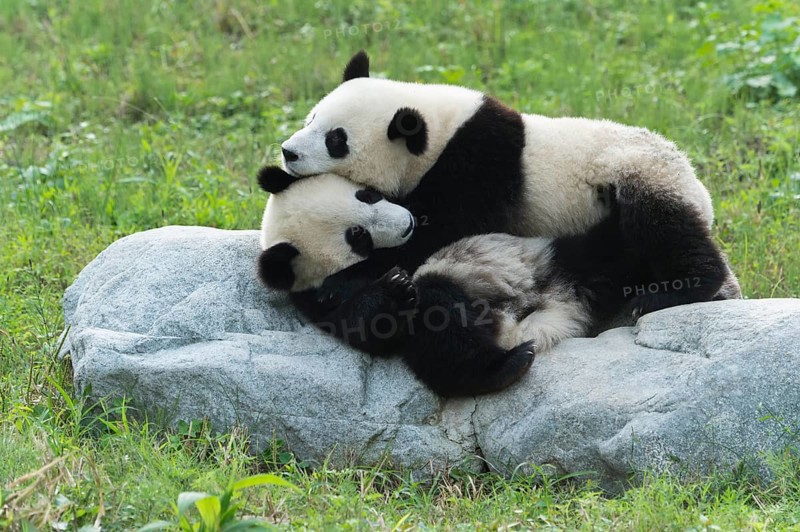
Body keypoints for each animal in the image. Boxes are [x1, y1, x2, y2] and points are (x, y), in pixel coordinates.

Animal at [258, 166, 648, 397]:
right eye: (358, 237)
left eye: (367, 194)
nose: (407, 222)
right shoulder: (321, 300)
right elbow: (364, 328)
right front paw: (394, 286)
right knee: (443, 332)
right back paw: (506, 366)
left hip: (555, 258)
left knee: (606, 251)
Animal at [279, 51, 741, 319]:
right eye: (310, 118)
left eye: (336, 139)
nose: (288, 152)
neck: (440, 132)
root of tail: (701, 191)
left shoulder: (479, 165)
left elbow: (440, 232)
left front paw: (341, 283)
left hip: (639, 174)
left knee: (662, 226)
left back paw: (673, 291)